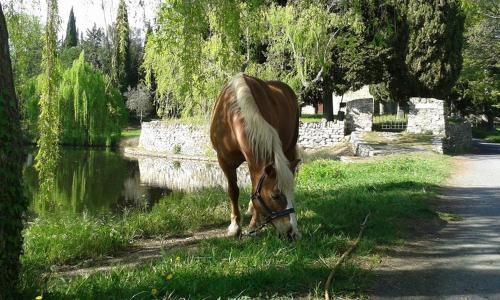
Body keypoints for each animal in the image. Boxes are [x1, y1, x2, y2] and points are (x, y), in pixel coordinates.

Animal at [208, 72, 298, 239]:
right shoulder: (224, 161)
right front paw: (235, 227)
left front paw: (254, 224)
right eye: (275, 195)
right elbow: (233, 191)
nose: (293, 233)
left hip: (290, 148)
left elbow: (253, 188)